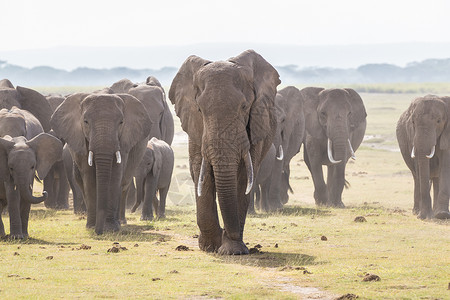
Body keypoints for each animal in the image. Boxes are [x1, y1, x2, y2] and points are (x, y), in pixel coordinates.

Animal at [50, 92, 152, 233]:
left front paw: (110, 229)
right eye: (85, 121)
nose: (99, 232)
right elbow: (89, 177)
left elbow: (115, 175)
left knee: (123, 184)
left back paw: (120, 222)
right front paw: (91, 227)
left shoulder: (123, 141)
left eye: (121, 122)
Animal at [170, 49, 280, 255]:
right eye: (199, 109)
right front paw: (210, 246)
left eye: (244, 107)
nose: (227, 233)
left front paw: (232, 250)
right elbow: (201, 172)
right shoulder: (196, 128)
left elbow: (243, 177)